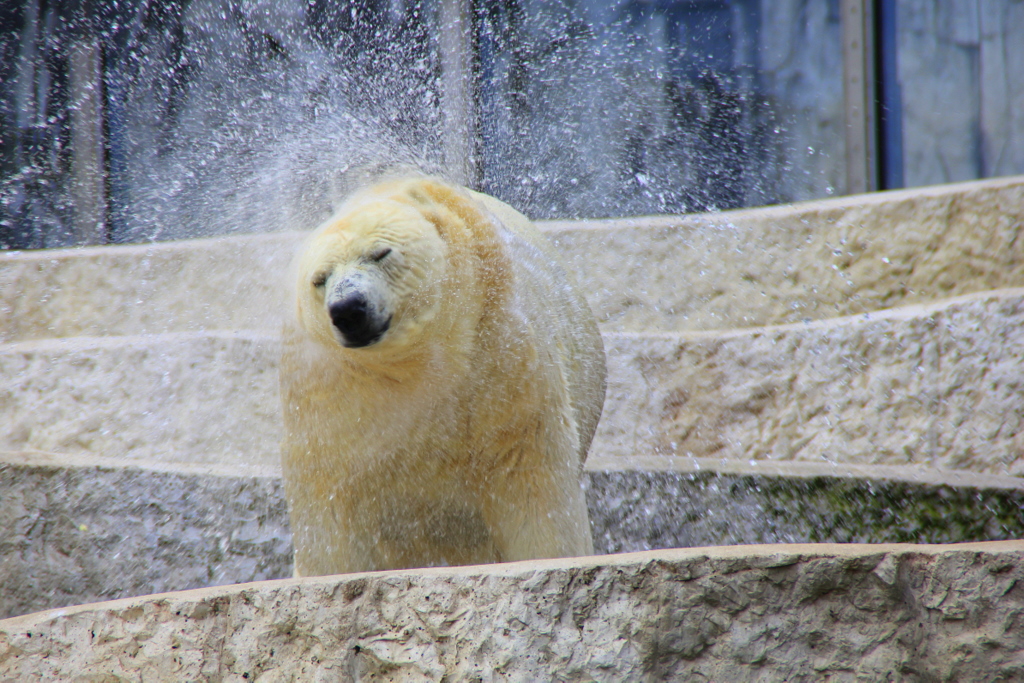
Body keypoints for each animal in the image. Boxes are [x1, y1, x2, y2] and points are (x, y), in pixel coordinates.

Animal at [278, 176, 606, 577]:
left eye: (381, 253)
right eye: (319, 279)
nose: (348, 309)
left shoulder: (500, 356)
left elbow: (530, 477)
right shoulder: (326, 392)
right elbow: (329, 504)